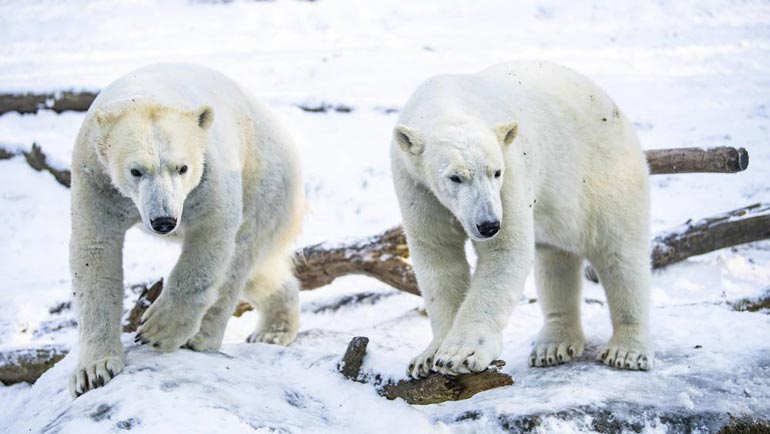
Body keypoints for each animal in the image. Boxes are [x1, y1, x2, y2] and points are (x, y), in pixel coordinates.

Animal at [68, 64, 304, 396]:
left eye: (182, 168)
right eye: (135, 170)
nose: (164, 221)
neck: (146, 96)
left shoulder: (209, 169)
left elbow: (212, 230)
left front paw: (157, 329)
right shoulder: (96, 176)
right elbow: (95, 249)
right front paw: (94, 370)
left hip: (265, 180)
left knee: (239, 257)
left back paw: (199, 338)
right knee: (261, 274)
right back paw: (273, 330)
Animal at [390, 60, 648, 376]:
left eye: (495, 172)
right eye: (455, 177)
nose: (488, 225)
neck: (447, 99)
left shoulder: (511, 171)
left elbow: (505, 250)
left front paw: (460, 355)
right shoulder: (416, 184)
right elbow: (438, 257)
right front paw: (427, 358)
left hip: (605, 174)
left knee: (620, 254)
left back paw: (627, 351)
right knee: (555, 262)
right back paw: (554, 346)